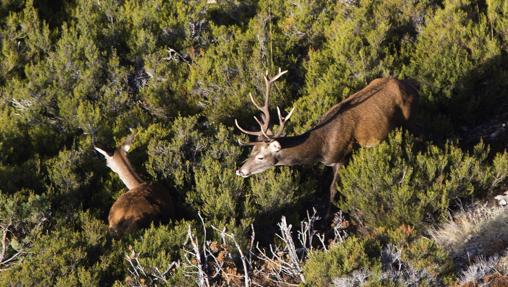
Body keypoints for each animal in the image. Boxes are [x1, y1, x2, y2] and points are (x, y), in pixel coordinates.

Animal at [234, 70, 416, 214]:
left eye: (261, 157)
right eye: (251, 152)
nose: (240, 171)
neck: (321, 147)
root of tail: (410, 84)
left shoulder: (342, 156)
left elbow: (333, 190)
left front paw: (328, 217)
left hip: (409, 118)